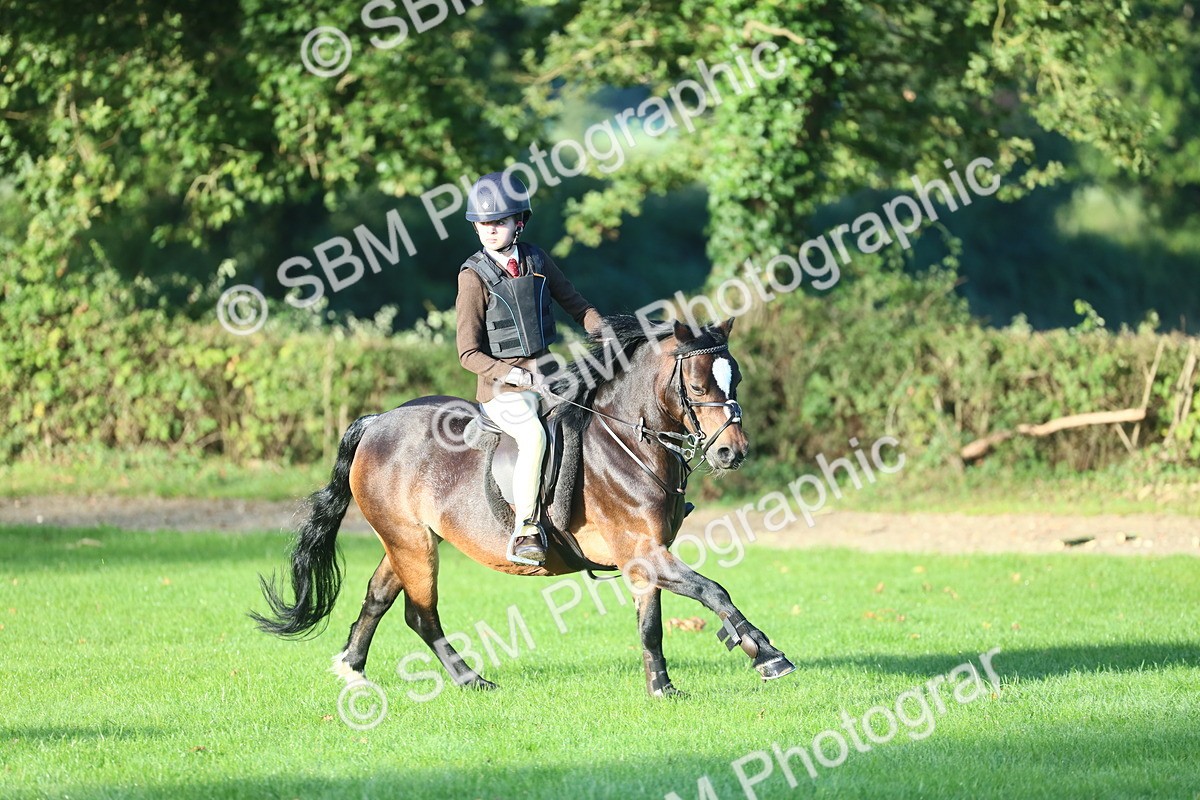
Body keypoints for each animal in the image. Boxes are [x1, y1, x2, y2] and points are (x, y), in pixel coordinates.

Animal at [251, 314, 796, 697]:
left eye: (736, 380)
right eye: (699, 386)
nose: (732, 453)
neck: (626, 442)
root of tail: (378, 420)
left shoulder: (645, 557)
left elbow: (652, 626)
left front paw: (661, 687)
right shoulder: (640, 550)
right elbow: (712, 590)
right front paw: (767, 655)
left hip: (406, 539)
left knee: (379, 597)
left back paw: (352, 670)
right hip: (410, 542)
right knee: (421, 614)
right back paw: (470, 681)